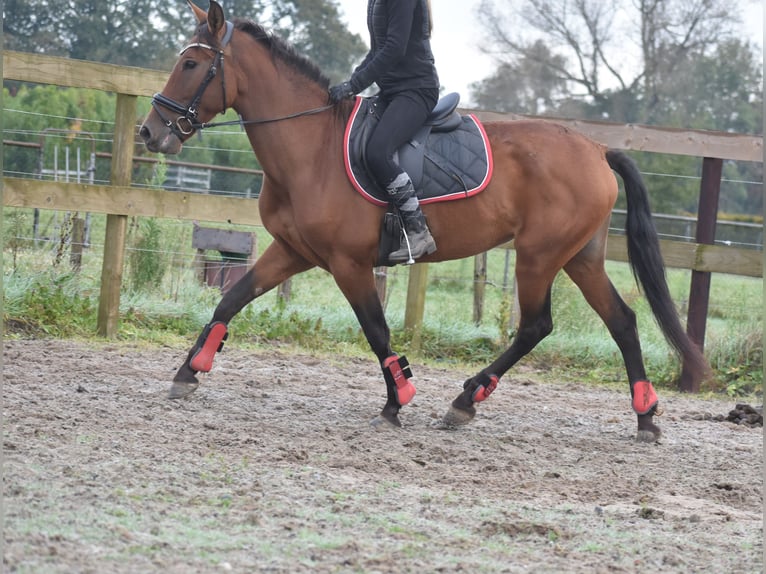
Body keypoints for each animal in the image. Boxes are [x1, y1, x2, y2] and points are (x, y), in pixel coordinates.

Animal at [140, 0, 708, 444]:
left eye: (190, 63)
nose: (150, 132)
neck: (311, 148)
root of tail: (596, 149)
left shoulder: (348, 264)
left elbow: (376, 330)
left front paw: (397, 401)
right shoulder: (293, 251)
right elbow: (230, 299)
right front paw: (188, 372)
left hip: (539, 255)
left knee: (536, 325)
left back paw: (467, 400)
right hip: (579, 257)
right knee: (623, 321)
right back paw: (645, 418)